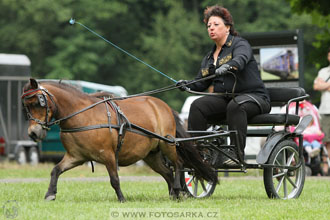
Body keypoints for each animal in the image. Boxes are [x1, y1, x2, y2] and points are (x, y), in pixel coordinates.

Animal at [20, 79, 217, 203]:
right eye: (25, 106)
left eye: (38, 102)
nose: (33, 133)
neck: (83, 115)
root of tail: (164, 106)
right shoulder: (75, 156)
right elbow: (55, 170)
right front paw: (50, 194)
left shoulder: (107, 155)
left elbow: (114, 179)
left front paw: (121, 198)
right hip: (151, 155)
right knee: (167, 172)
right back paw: (173, 195)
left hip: (167, 144)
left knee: (178, 164)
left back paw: (177, 189)